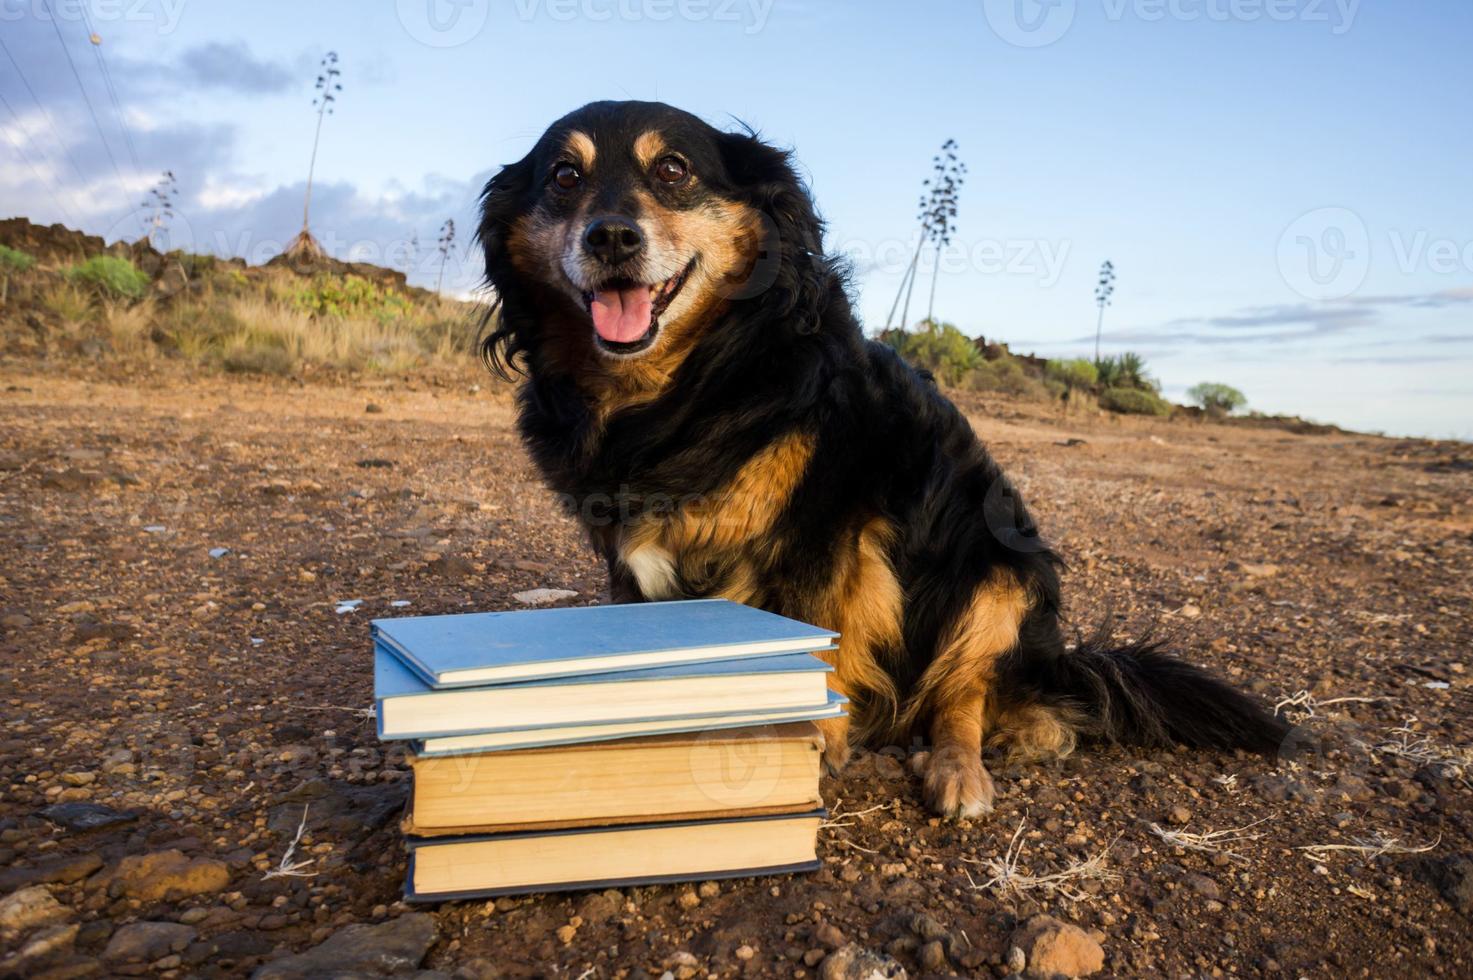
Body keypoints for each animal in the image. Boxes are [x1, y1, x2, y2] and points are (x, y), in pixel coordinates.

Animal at [474, 100, 1290, 819]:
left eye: (672, 168)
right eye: (564, 177)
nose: (610, 237)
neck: (684, 390)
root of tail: (1055, 667)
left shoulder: (826, 533)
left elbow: (818, 643)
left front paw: (808, 743)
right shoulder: (622, 548)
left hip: (1000, 570)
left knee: (963, 695)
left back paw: (959, 769)